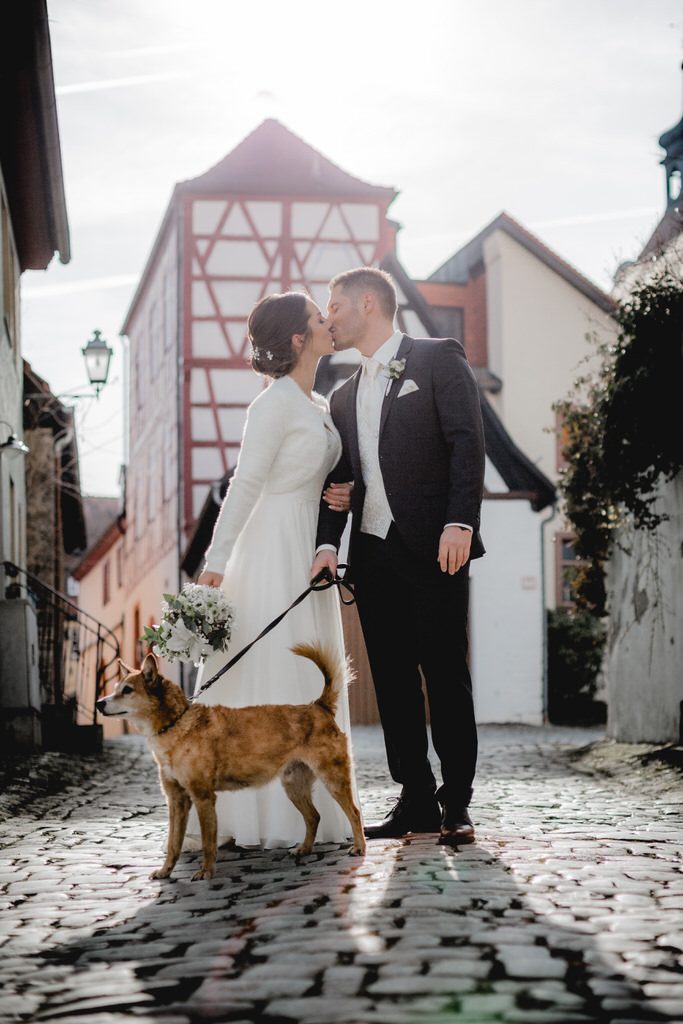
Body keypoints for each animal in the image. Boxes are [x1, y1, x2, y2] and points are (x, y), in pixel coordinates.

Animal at [96, 643, 366, 876]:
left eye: (127, 690)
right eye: (116, 687)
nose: (99, 703)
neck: (176, 724)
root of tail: (319, 706)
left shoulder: (203, 797)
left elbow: (208, 841)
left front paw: (206, 872)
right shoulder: (176, 799)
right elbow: (174, 842)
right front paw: (165, 872)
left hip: (332, 778)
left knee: (354, 812)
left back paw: (359, 847)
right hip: (294, 785)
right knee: (314, 817)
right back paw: (305, 849)